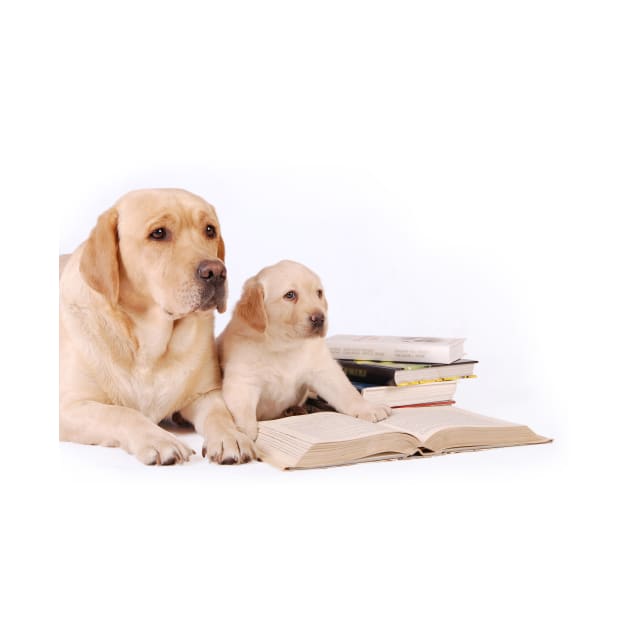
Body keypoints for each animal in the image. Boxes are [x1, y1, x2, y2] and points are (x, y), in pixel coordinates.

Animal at [59, 188, 256, 464]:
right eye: (159, 233)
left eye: (210, 230)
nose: (216, 272)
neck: (149, 349)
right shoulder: (69, 406)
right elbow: (122, 413)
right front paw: (159, 440)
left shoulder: (207, 394)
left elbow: (221, 414)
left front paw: (231, 437)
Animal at [220, 260, 392, 442]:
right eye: (290, 295)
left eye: (319, 293)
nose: (320, 319)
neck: (284, 343)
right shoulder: (243, 380)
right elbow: (243, 409)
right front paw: (242, 432)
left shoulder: (324, 369)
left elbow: (346, 391)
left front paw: (367, 407)